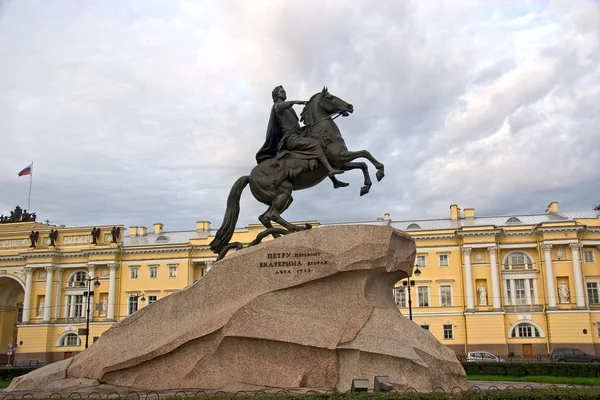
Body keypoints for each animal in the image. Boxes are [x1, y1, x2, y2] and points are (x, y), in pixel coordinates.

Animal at [210, 87, 384, 256]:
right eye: (330, 97)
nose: (350, 106)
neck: (323, 131)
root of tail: (249, 176)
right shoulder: (340, 157)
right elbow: (365, 153)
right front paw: (379, 172)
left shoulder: (342, 163)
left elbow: (363, 163)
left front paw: (366, 185)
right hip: (284, 191)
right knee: (271, 215)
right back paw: (296, 228)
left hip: (282, 197)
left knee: (264, 217)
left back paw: (278, 237)